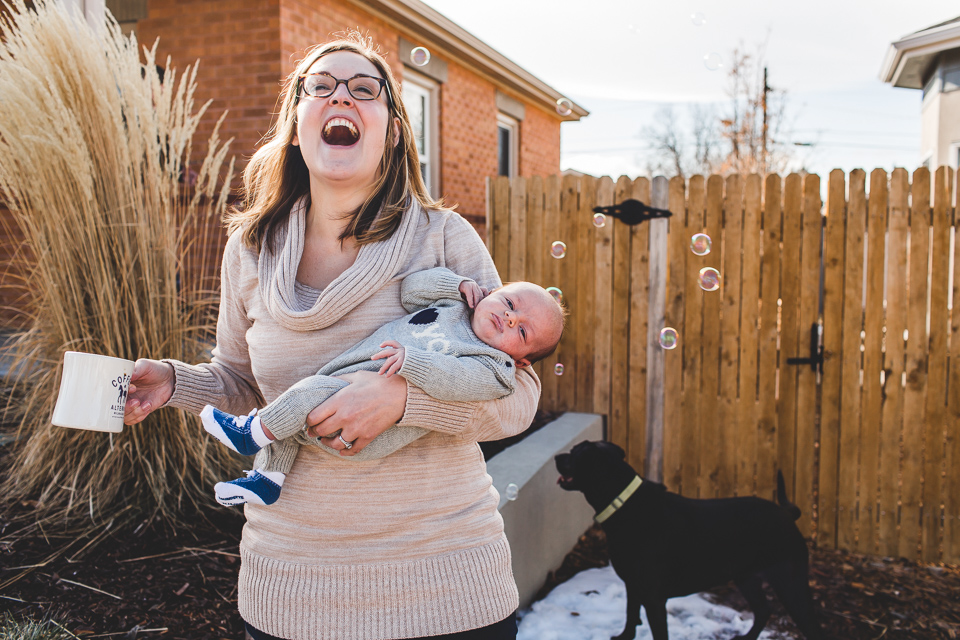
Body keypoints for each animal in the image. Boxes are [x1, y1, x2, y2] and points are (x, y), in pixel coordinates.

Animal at [556, 440, 824, 640]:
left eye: (577, 453)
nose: (558, 457)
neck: (624, 504)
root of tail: (787, 515)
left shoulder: (654, 597)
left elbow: (656, 630)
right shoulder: (633, 584)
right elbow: (631, 615)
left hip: (790, 583)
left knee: (810, 627)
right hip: (746, 577)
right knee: (763, 610)